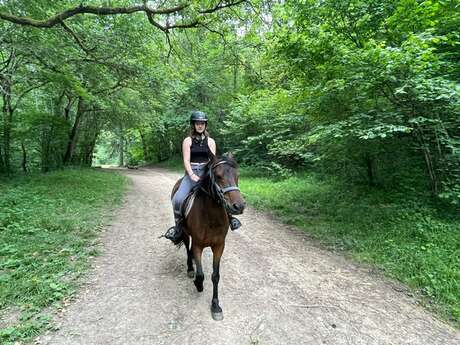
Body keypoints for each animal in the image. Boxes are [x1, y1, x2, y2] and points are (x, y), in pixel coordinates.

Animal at [171, 152, 246, 318]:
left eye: (237, 175)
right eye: (218, 176)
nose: (239, 206)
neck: (211, 217)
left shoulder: (219, 246)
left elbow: (215, 276)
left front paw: (216, 306)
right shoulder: (198, 245)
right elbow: (201, 275)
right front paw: (198, 285)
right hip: (184, 232)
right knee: (187, 249)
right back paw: (190, 268)